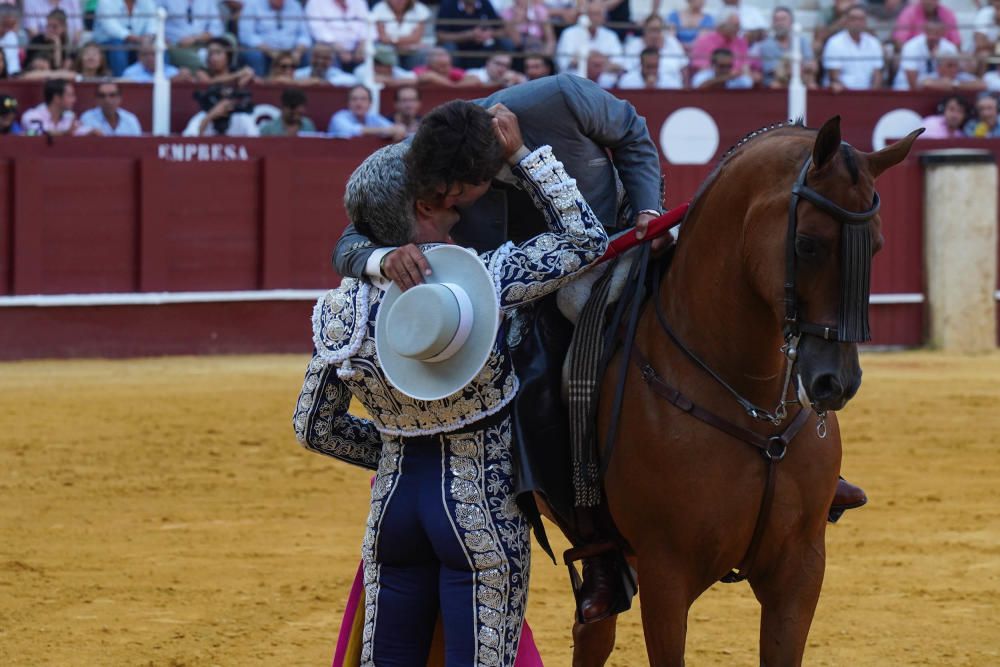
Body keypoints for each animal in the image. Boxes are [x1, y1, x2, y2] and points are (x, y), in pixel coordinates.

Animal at [580, 117, 920, 664]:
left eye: (878, 246)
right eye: (807, 244)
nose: (837, 383)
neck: (752, 400)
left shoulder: (799, 569)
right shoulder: (665, 573)